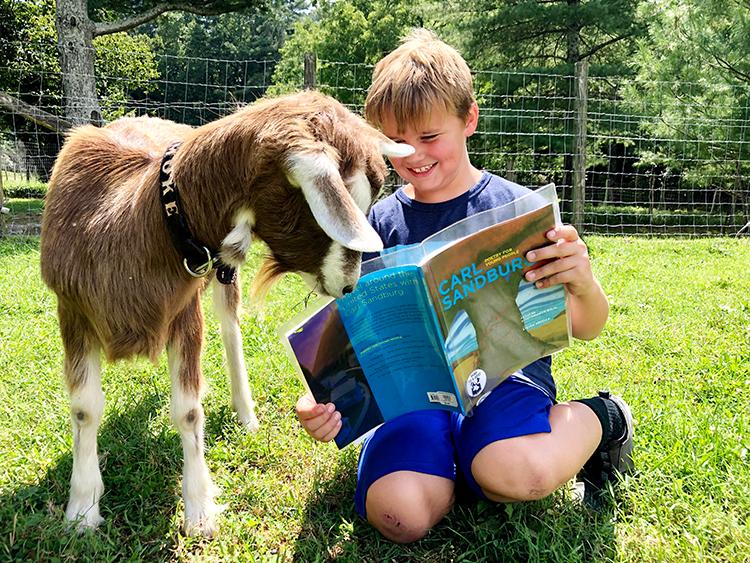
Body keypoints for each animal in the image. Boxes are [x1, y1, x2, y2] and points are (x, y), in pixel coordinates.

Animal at [38, 91, 414, 536]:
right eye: (322, 208)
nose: (349, 287)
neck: (122, 219)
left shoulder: (185, 314)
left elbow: (187, 410)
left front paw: (199, 509)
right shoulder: (72, 311)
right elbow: (84, 408)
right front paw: (82, 509)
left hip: (222, 272)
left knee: (230, 328)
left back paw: (245, 412)